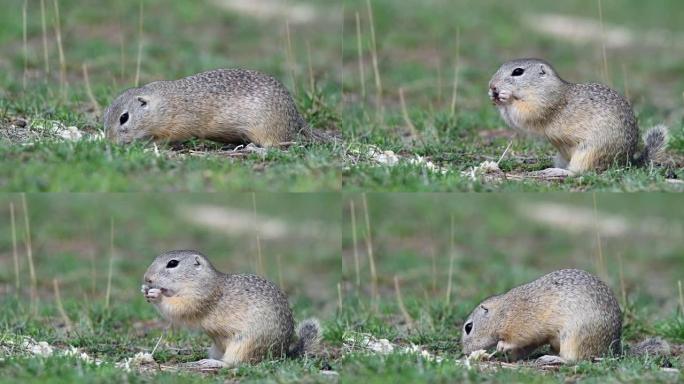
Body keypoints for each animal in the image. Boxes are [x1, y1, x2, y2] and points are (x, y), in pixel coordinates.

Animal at [105, 68, 330, 148]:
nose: (109, 141)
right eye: (106, 114)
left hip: (267, 130)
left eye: (124, 118)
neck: (164, 104)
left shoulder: (180, 124)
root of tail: (296, 116)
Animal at [141, 249, 320, 368]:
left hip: (244, 345)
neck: (199, 279)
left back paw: (210, 363)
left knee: (234, 363)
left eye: (173, 263)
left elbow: (179, 308)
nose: (147, 278)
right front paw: (145, 290)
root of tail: (281, 353)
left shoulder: (199, 297)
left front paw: (157, 295)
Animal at [462, 268, 624, 364]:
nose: (464, 352)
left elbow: (516, 339)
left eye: (468, 327)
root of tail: (611, 348)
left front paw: (502, 346)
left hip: (574, 337)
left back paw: (550, 358)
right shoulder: (533, 340)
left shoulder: (521, 326)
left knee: (574, 359)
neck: (502, 312)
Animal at [486, 58, 668, 176]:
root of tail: (626, 161)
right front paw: (493, 97)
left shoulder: (543, 104)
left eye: (518, 72)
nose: (492, 85)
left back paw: (553, 172)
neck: (543, 86)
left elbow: (524, 114)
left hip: (588, 153)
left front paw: (505, 96)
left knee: (579, 172)